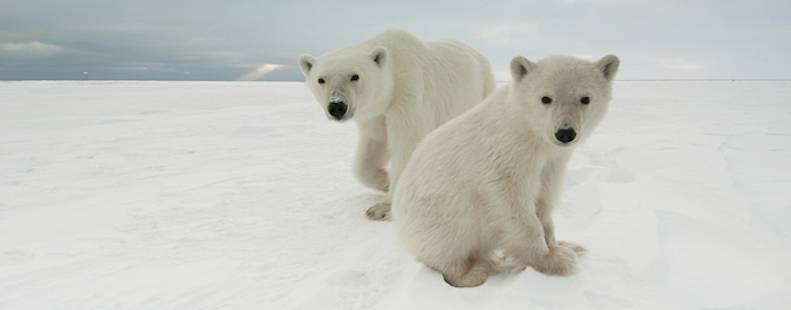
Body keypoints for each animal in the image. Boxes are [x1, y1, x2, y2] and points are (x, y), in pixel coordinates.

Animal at [298, 30, 496, 220]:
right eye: (321, 79)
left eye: (355, 76)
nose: (337, 106)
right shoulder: (375, 113)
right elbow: (373, 146)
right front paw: (385, 181)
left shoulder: (408, 95)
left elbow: (407, 144)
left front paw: (383, 209)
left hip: (482, 89)